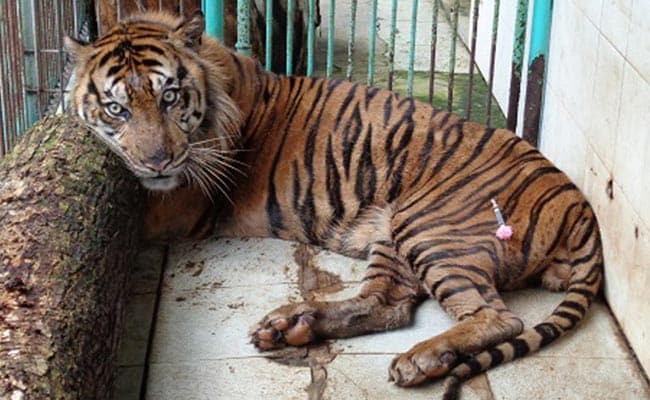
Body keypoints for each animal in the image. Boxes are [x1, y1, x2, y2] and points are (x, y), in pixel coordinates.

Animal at [66, 10, 604, 398]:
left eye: (171, 97)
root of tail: (578, 203)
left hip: (432, 228)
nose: (156, 161)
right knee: (386, 305)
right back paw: (292, 327)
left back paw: (420, 358)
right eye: (116, 107)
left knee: (498, 317)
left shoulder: (178, 203)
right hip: (394, 239)